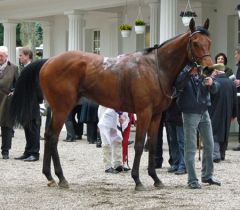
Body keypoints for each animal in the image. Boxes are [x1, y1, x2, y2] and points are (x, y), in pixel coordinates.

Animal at [11, 18, 213, 191]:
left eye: (209, 41)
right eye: (196, 42)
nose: (209, 69)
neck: (155, 68)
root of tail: (48, 61)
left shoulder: (156, 115)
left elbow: (153, 144)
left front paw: (156, 179)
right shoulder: (144, 113)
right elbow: (139, 144)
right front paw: (137, 180)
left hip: (55, 108)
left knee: (47, 135)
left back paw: (50, 176)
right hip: (62, 108)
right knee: (52, 137)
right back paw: (61, 178)